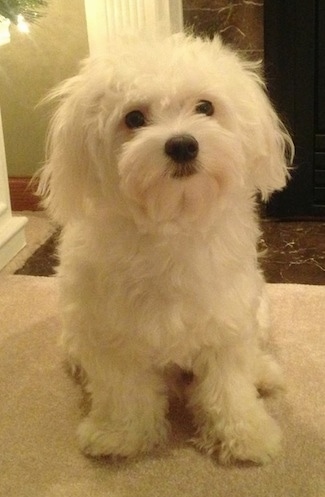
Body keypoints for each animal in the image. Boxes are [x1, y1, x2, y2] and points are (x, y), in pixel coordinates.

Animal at [38, 33, 294, 464]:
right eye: (134, 118)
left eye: (205, 107)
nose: (182, 146)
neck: (171, 223)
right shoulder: (109, 334)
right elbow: (123, 391)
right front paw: (119, 434)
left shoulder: (227, 324)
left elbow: (230, 387)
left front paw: (246, 434)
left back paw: (264, 373)